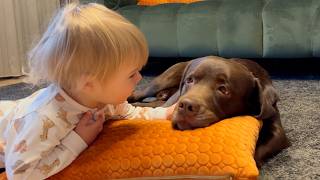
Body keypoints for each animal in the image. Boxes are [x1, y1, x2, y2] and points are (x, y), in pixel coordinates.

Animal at [127, 56, 290, 167]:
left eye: (223, 89)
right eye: (189, 80)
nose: (186, 105)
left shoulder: (277, 131)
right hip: (163, 80)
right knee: (140, 95)